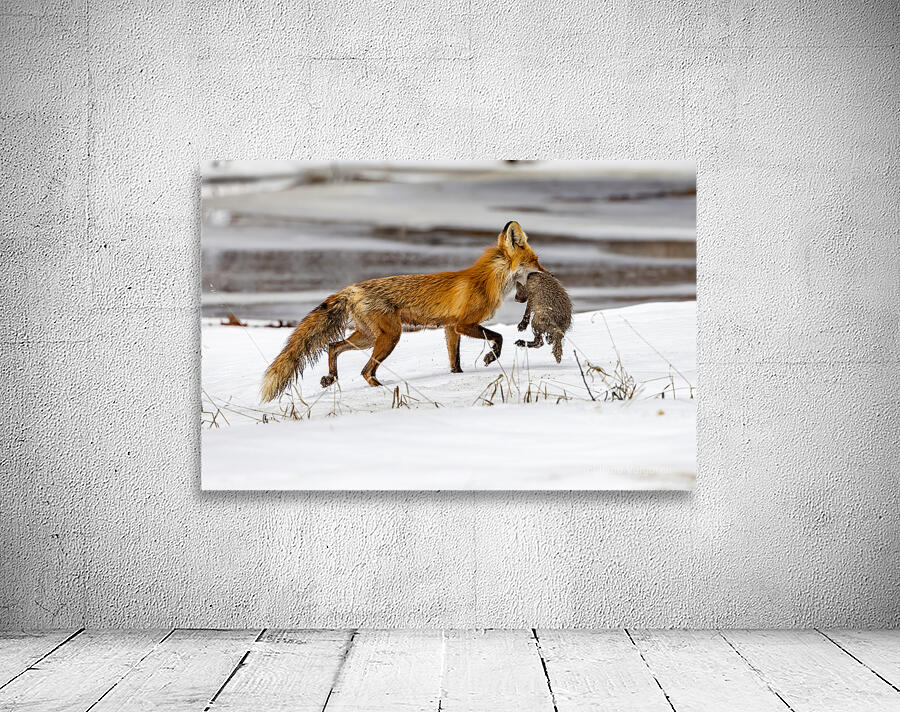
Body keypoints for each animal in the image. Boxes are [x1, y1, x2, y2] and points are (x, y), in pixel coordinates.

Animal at [260, 221, 547, 401]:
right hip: (390, 337)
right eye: (536, 261)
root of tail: (351, 288)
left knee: (333, 346)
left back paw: (331, 378)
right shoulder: (463, 324)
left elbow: (455, 361)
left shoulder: (450, 328)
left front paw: (458, 376)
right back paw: (381, 389)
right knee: (365, 371)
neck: (487, 281)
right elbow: (498, 337)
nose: (549, 275)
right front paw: (490, 358)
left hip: (368, 337)